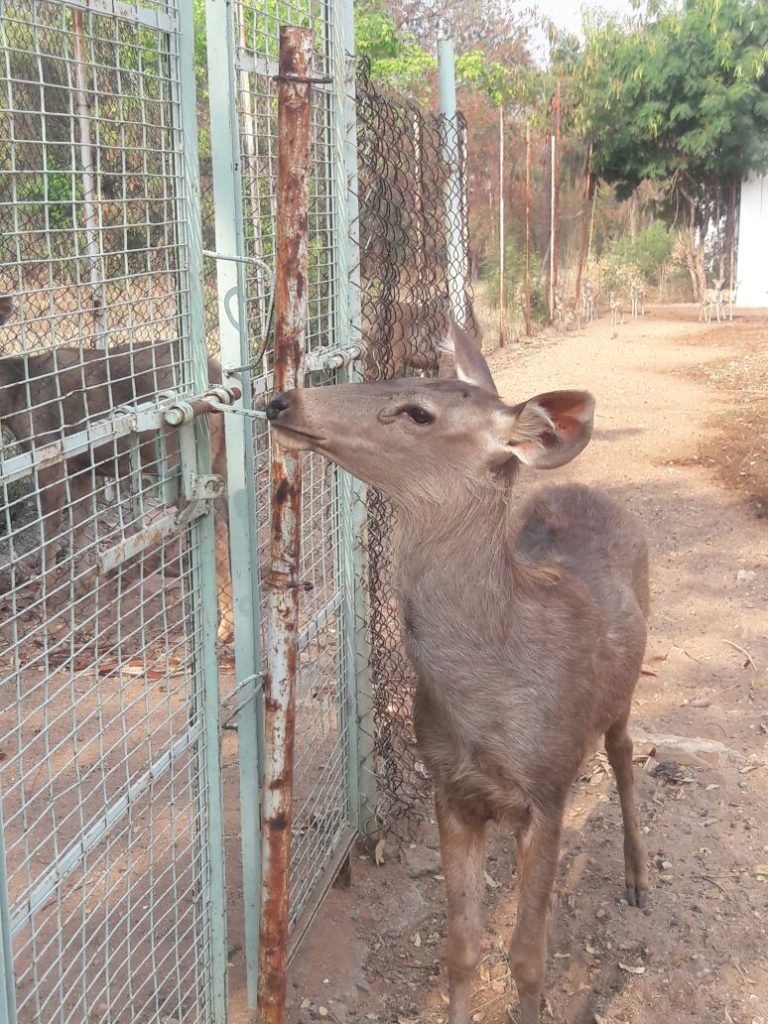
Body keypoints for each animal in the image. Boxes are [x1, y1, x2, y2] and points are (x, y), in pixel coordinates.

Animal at [268, 321, 651, 1024]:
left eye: (419, 412)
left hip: (625, 688)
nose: (283, 400)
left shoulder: (548, 789)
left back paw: (638, 878)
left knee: (624, 752)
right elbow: (462, 946)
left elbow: (529, 958)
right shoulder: (448, 784)